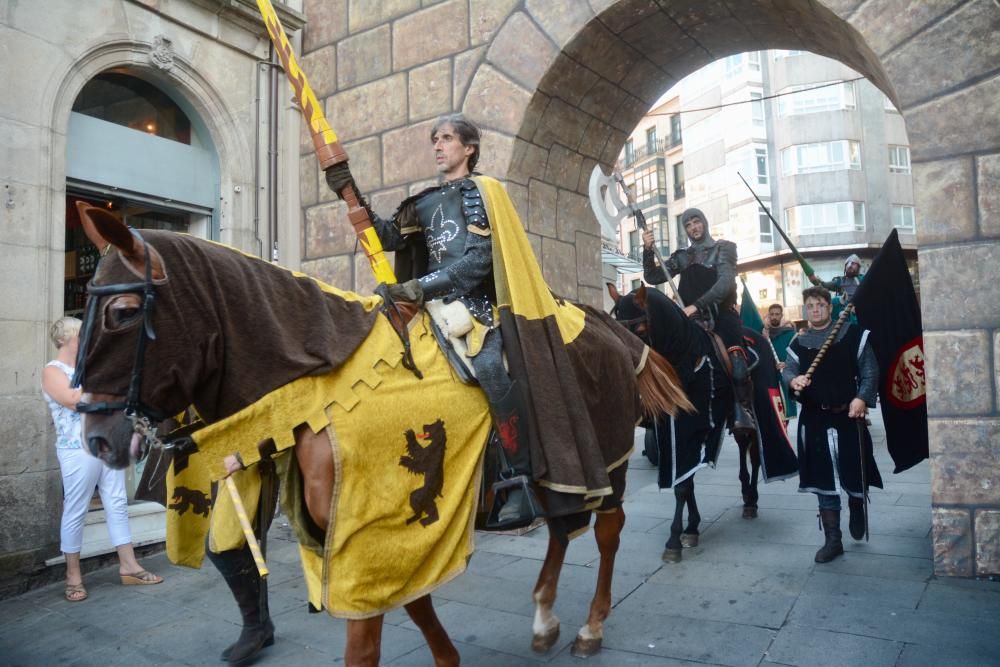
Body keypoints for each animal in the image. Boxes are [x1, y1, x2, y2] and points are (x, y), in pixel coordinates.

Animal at [74, 206, 692, 664]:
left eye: (124, 311)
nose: (98, 438)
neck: (329, 389)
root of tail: (612, 329)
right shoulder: (371, 540)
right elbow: (415, 606)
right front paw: (448, 660)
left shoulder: (367, 536)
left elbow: (366, 643)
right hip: (564, 470)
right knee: (565, 529)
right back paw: (543, 619)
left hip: (605, 462)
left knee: (607, 531)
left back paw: (590, 627)